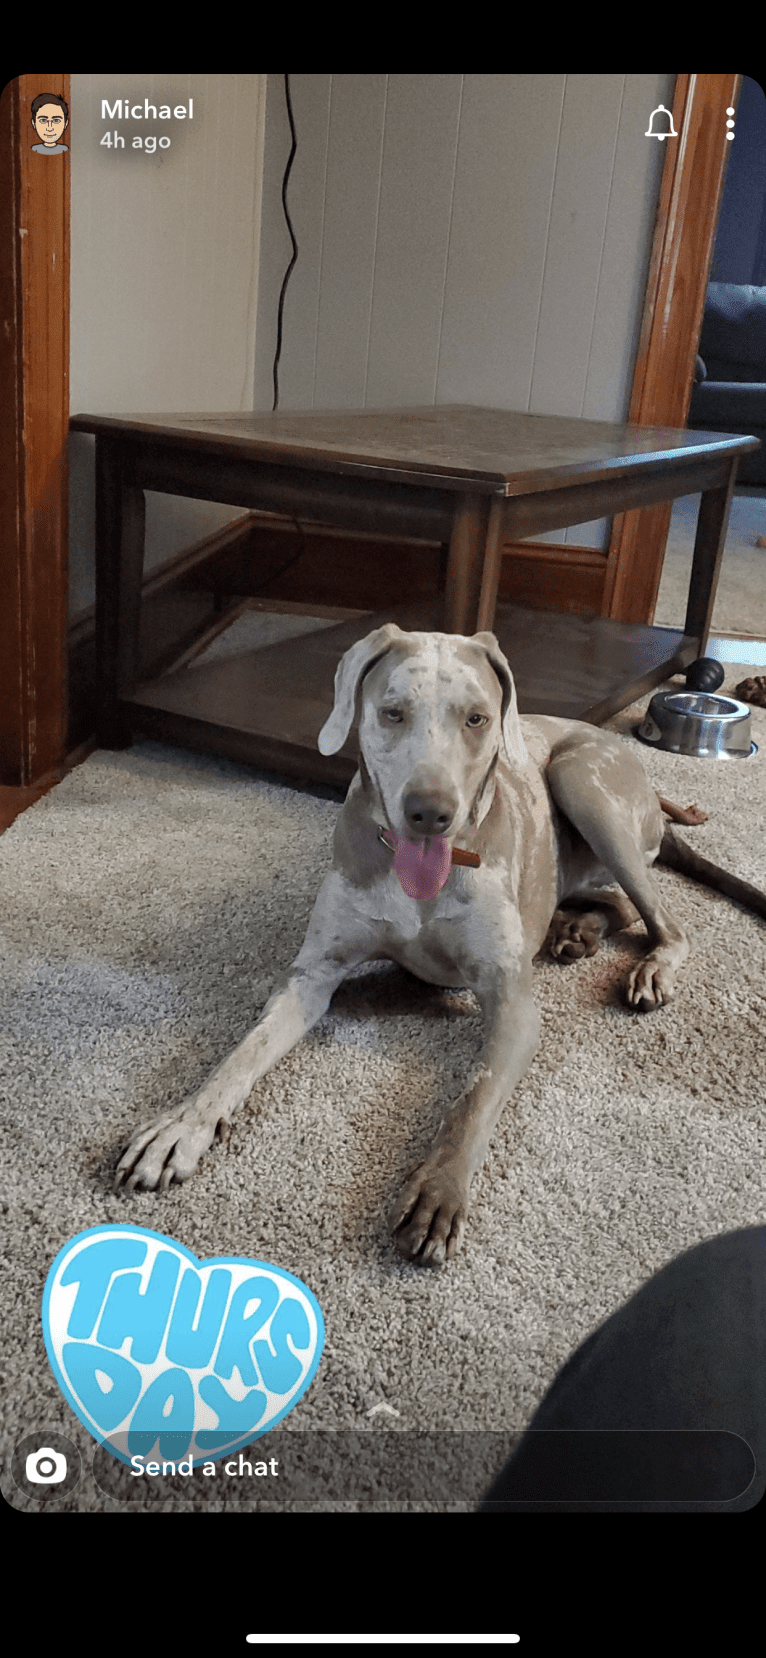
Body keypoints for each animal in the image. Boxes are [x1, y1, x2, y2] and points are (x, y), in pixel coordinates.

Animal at [115, 626, 766, 1260]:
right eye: (392, 713)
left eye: (476, 718)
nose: (430, 813)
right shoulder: (312, 975)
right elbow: (242, 1053)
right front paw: (182, 1126)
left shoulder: (511, 1000)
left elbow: (474, 1098)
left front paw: (438, 1190)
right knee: (619, 902)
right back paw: (576, 929)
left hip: (583, 784)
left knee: (664, 920)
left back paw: (647, 966)